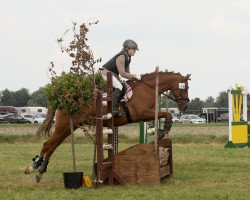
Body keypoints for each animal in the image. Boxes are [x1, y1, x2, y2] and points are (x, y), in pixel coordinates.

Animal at [24, 71, 190, 182]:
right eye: (184, 88)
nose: (185, 106)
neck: (148, 88)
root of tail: (63, 98)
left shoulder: (148, 114)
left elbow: (163, 116)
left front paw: (160, 131)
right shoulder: (142, 113)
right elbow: (167, 115)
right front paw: (163, 130)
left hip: (69, 127)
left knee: (53, 145)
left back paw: (39, 169)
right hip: (63, 126)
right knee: (49, 143)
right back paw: (35, 167)